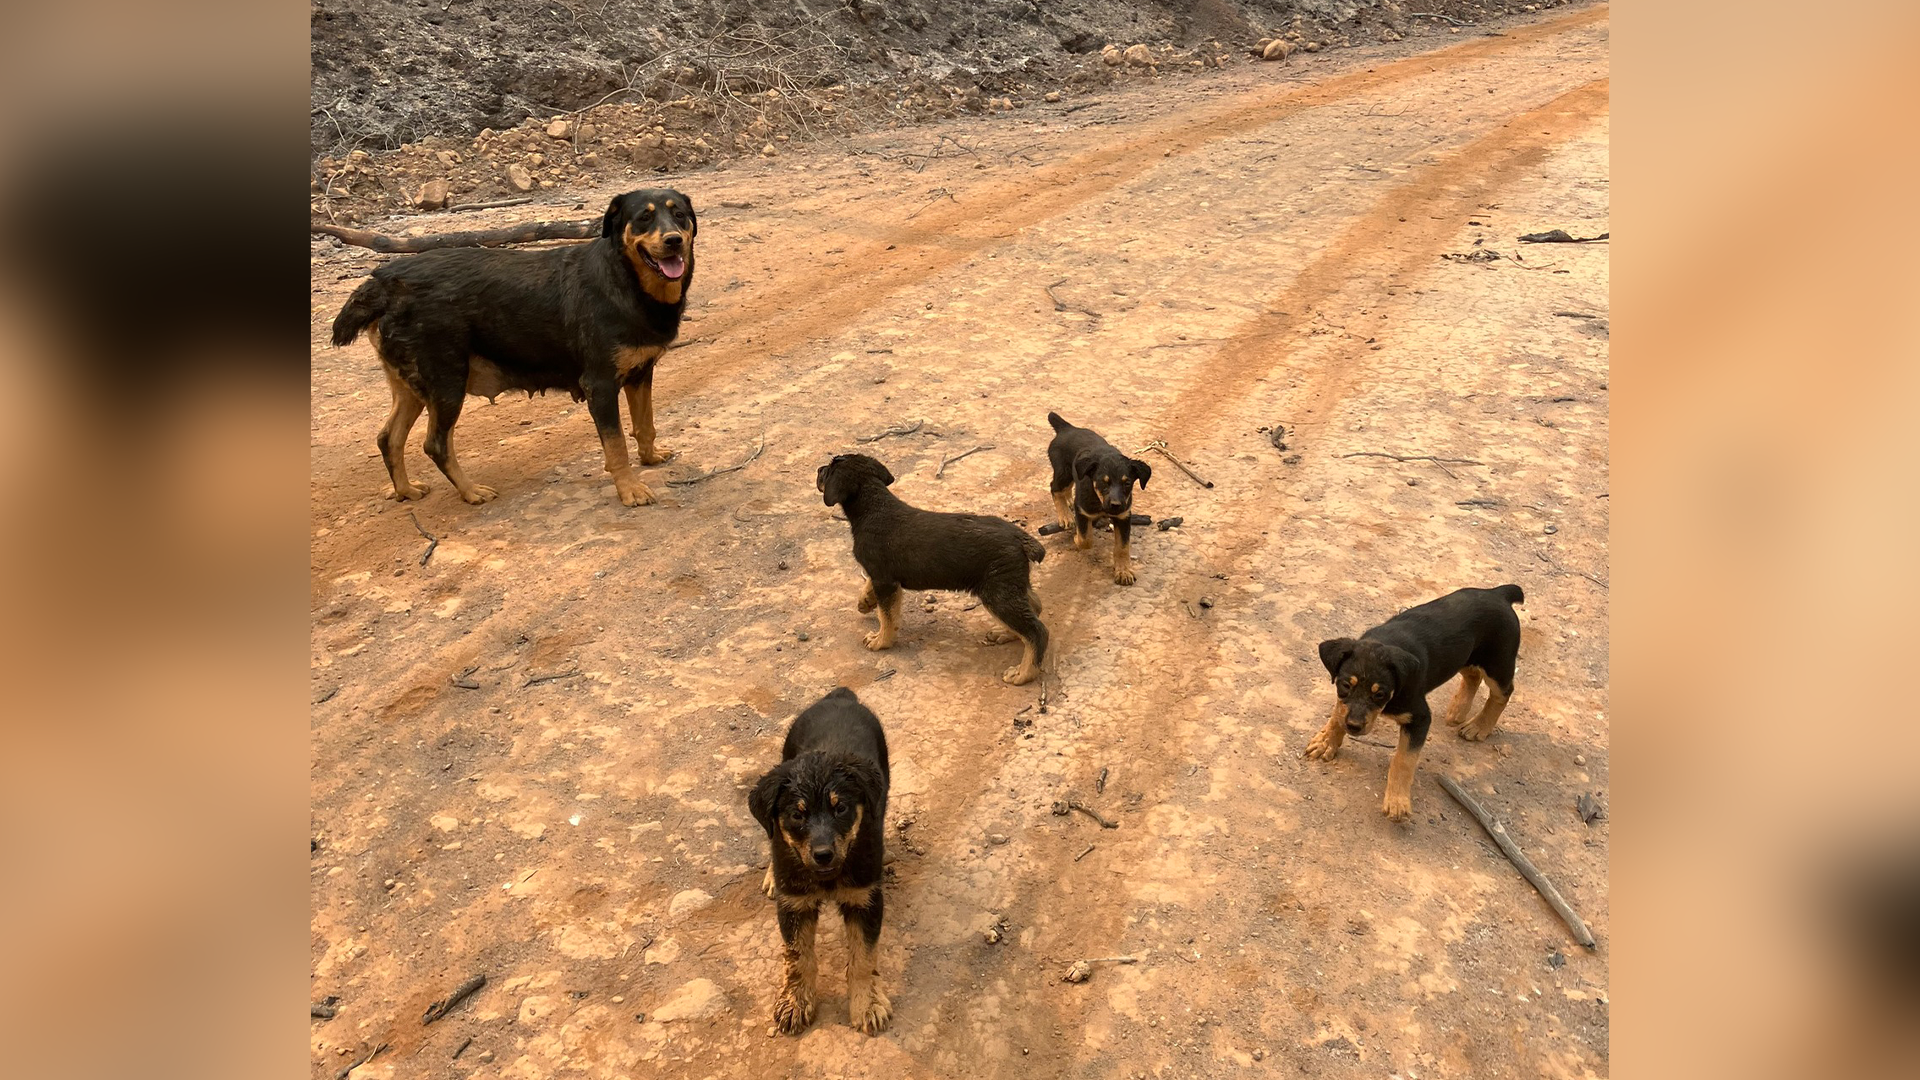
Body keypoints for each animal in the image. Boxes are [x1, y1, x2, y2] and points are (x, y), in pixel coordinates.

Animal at [330, 188, 698, 503]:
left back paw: (405, 490)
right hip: (447, 383)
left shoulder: (640, 373)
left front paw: (650, 457)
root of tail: (383, 282)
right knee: (435, 444)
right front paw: (630, 490)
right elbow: (617, 444)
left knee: (388, 438)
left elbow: (645, 425)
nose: (674, 241)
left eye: (679, 214)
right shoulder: (601, 385)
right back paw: (470, 491)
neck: (626, 281)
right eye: (644, 218)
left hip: (412, 385)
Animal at [752, 684, 894, 1030]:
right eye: (797, 815)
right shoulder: (794, 904)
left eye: (840, 808)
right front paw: (794, 1003)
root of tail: (840, 696)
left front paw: (867, 1004)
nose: (823, 855)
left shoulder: (865, 899)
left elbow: (863, 957)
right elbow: (797, 958)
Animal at [814, 451, 1052, 680]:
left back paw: (1023, 673)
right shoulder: (882, 577)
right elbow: (871, 591)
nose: (818, 469)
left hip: (997, 594)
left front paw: (881, 640)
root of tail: (1021, 538)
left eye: (827, 471)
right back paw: (1006, 634)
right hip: (1010, 585)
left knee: (1036, 631)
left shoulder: (884, 579)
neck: (874, 507)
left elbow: (887, 616)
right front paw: (865, 601)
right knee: (1035, 607)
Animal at [1052, 407, 1152, 584]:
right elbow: (1086, 539)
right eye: (1104, 483)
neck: (1099, 501)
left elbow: (1122, 547)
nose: (1116, 505)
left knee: (1065, 489)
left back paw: (1068, 501)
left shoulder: (1124, 516)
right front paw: (1077, 538)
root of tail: (1067, 428)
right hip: (1063, 471)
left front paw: (1123, 571)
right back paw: (1065, 516)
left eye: (1127, 483)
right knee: (1055, 489)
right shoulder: (1082, 511)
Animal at [1305, 584, 1528, 818]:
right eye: (1345, 685)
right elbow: (1338, 713)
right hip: (1464, 656)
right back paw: (1458, 711)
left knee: (1503, 692)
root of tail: (1498, 593)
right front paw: (1326, 741)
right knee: (1473, 676)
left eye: (1379, 694)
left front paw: (1397, 801)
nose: (1354, 727)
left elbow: (1404, 759)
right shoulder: (1344, 701)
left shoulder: (1419, 717)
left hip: (1498, 663)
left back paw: (1478, 726)